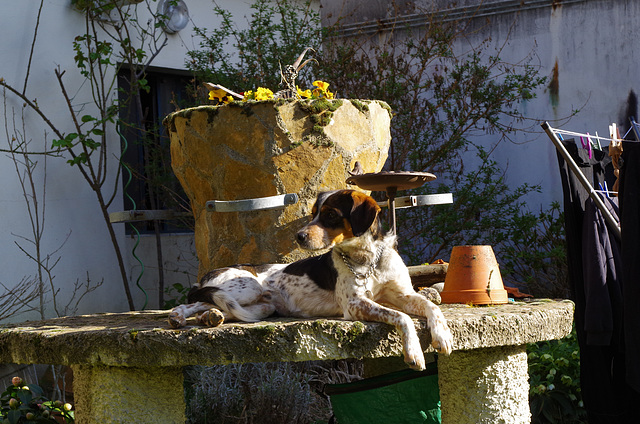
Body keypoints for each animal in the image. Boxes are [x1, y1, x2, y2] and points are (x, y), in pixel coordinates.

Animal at [168, 190, 452, 370]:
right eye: (313, 213)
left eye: (330, 214)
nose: (299, 236)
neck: (368, 260)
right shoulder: (355, 305)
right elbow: (402, 317)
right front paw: (414, 352)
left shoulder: (403, 294)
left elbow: (432, 307)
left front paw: (442, 336)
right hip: (247, 286)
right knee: (192, 302)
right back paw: (179, 317)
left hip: (262, 306)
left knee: (219, 308)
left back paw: (211, 318)